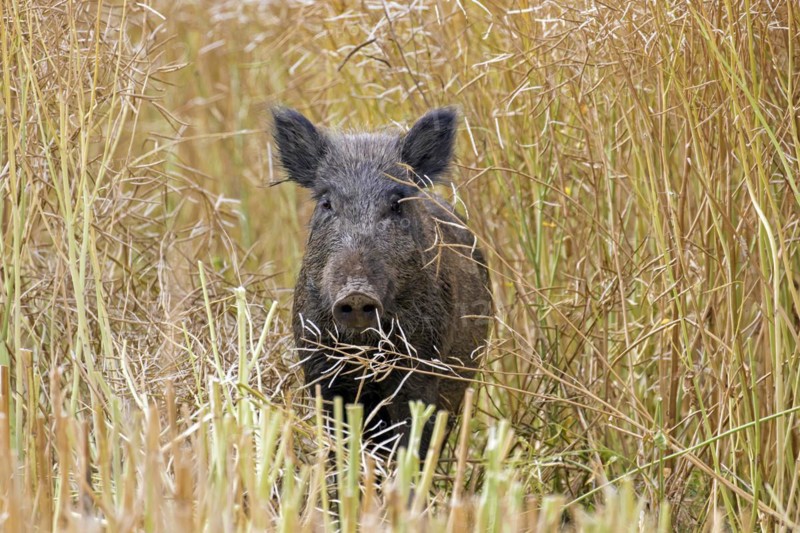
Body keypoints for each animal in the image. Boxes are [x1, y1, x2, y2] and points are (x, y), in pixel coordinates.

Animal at [271, 106, 492, 459]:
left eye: (396, 203)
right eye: (327, 203)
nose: (357, 294)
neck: (366, 350)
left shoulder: (420, 372)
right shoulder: (321, 372)